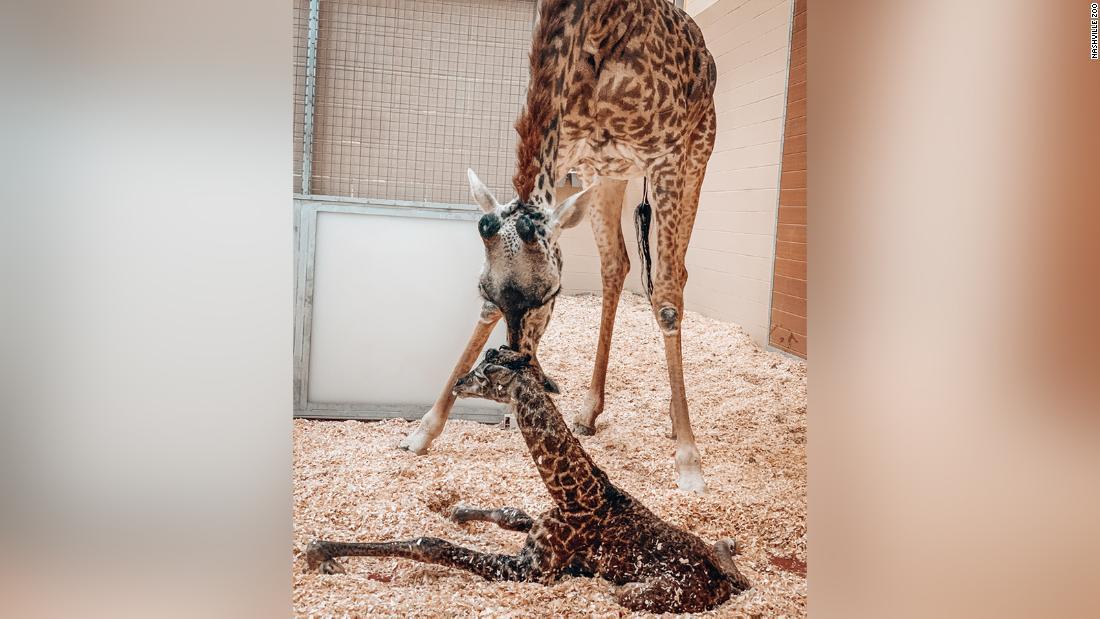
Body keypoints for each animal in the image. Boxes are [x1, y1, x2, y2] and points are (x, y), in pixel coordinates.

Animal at [305, 349, 752, 615]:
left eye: (483, 373)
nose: (457, 381)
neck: (577, 493)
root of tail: (719, 583)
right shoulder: (534, 529)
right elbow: (510, 511)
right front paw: (459, 510)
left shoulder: (529, 569)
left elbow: (430, 545)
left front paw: (320, 550)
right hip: (718, 564)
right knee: (733, 564)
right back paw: (727, 543)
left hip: (634, 592)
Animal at [400, 0, 717, 494]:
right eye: (483, 290)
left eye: (551, 294)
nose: (517, 372)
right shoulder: (568, 151)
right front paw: (424, 429)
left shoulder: (666, 153)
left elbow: (665, 296)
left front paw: (688, 461)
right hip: (606, 175)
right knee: (616, 263)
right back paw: (588, 411)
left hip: (698, 151)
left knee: (675, 276)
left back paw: (671, 421)